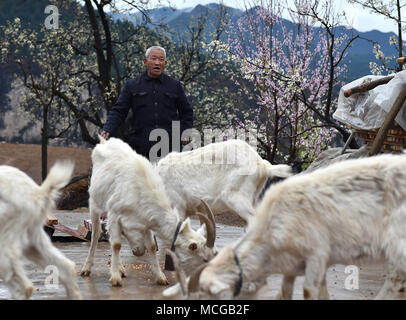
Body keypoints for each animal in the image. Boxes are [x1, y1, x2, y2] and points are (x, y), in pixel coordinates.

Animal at [80, 136, 217, 286]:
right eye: (204, 259)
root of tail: (104, 142)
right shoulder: (114, 214)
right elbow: (116, 244)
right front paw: (115, 278)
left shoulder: (147, 221)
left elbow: (151, 246)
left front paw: (160, 277)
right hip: (95, 204)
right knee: (96, 234)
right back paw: (87, 269)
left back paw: (122, 267)